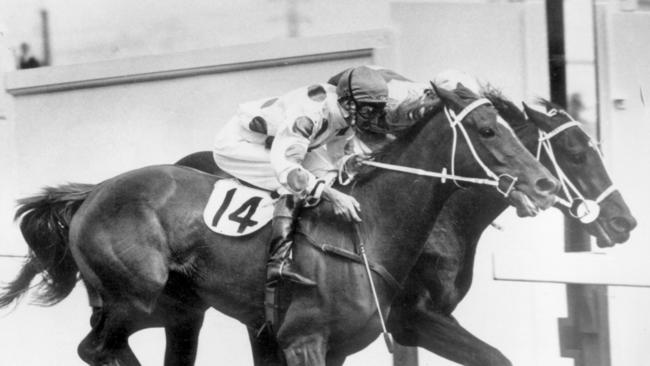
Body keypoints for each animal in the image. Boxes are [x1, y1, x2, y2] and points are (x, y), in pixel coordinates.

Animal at [0, 84, 556, 364]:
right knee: (97, 348)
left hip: (178, 309)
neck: (369, 232)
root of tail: (92, 193)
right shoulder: (303, 342)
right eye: (488, 130)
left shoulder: (339, 350)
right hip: (135, 296)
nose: (545, 183)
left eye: (514, 130)